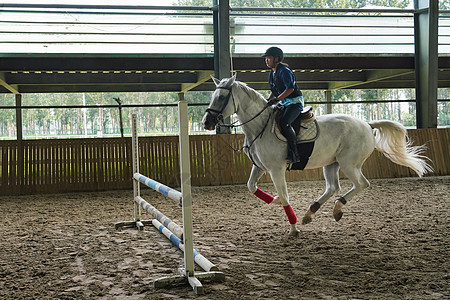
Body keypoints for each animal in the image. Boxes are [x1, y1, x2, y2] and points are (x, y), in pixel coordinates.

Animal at [201, 74, 432, 236]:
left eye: (221, 97)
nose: (206, 122)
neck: (260, 126)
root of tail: (367, 124)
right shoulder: (259, 167)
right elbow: (252, 187)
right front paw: (274, 201)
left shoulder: (276, 169)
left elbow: (284, 195)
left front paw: (293, 229)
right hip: (331, 164)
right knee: (333, 187)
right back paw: (310, 213)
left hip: (349, 164)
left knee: (361, 184)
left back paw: (337, 209)